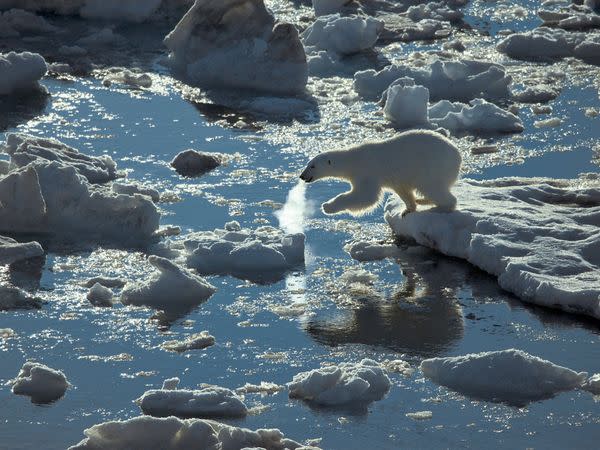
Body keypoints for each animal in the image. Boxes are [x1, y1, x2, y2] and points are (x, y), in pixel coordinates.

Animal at [298, 130, 460, 216]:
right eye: (308, 164)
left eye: (312, 166)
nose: (302, 176)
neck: (353, 159)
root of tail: (458, 156)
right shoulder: (396, 179)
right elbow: (402, 190)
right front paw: (408, 209)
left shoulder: (367, 172)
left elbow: (366, 197)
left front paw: (327, 206)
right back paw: (422, 201)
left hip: (433, 166)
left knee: (432, 187)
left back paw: (439, 207)